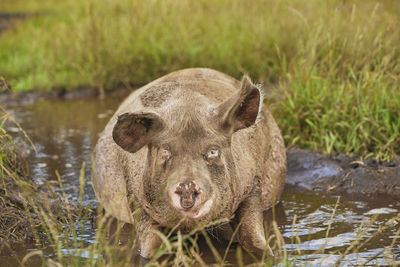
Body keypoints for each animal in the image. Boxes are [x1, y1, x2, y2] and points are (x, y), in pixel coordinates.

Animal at [93, 68, 288, 258]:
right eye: (165, 151)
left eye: (213, 151)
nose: (186, 185)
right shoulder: (134, 194)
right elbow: (149, 246)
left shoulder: (252, 183)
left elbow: (251, 233)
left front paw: (268, 254)